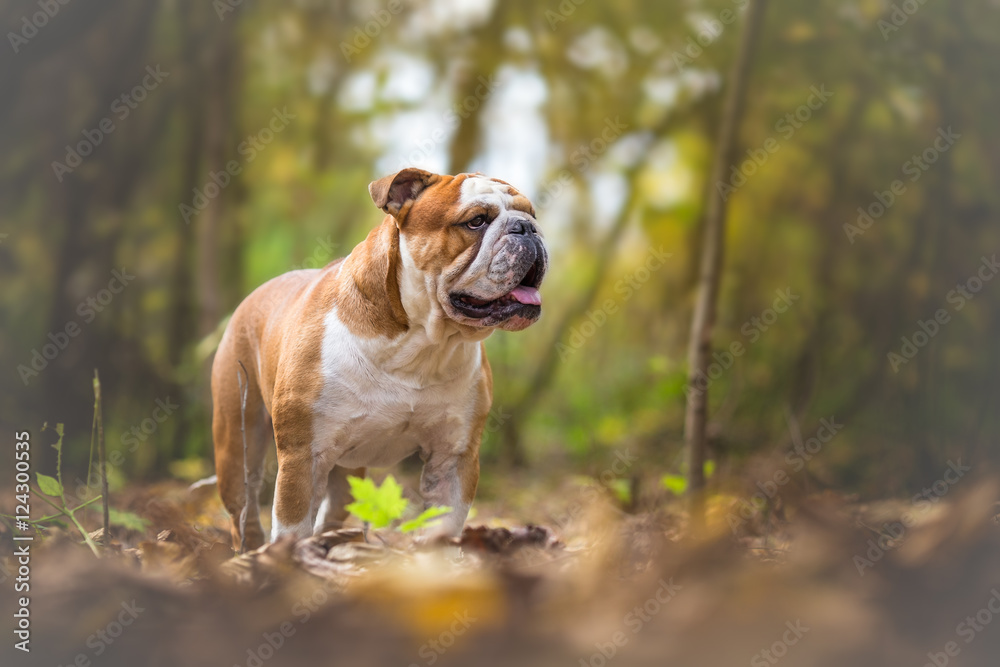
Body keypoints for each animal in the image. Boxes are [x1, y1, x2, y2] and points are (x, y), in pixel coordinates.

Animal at [210, 170, 548, 552]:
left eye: (532, 214)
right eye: (476, 221)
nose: (527, 228)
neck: (419, 345)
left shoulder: (454, 457)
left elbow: (442, 526)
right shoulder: (302, 457)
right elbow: (292, 527)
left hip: (346, 471)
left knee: (332, 510)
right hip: (237, 445)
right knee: (244, 508)